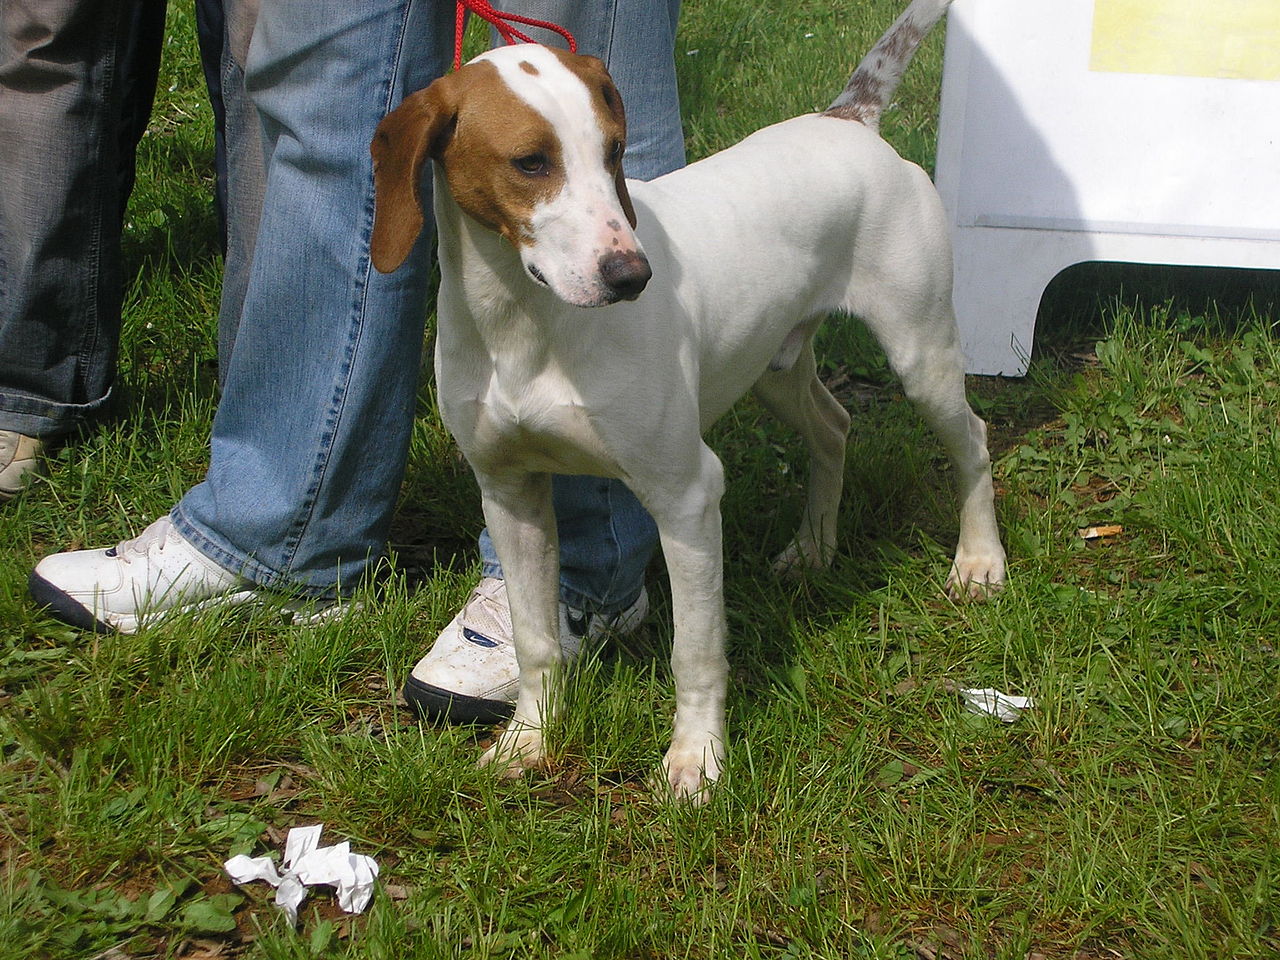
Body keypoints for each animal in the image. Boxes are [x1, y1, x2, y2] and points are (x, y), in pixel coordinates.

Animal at [366, 0, 1003, 798]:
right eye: (530, 161)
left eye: (614, 151)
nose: (631, 275)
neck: (525, 325)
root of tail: (848, 116)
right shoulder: (508, 492)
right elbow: (536, 640)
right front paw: (528, 741)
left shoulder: (687, 495)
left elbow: (694, 654)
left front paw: (697, 762)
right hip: (773, 366)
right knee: (834, 426)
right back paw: (815, 546)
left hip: (921, 353)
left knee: (973, 439)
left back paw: (979, 561)